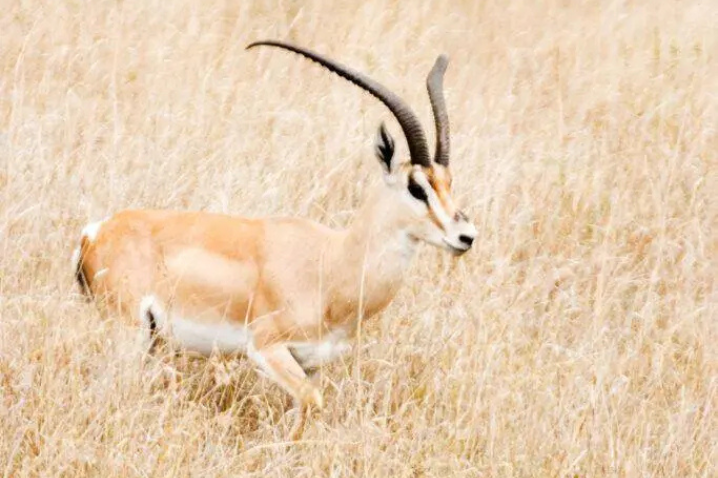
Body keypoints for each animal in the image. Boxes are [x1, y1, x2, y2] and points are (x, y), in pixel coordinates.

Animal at [72, 40, 477, 439]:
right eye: (416, 187)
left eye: (448, 182)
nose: (466, 236)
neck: (333, 262)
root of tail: (97, 231)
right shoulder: (266, 349)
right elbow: (312, 402)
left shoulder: (311, 362)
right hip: (130, 335)